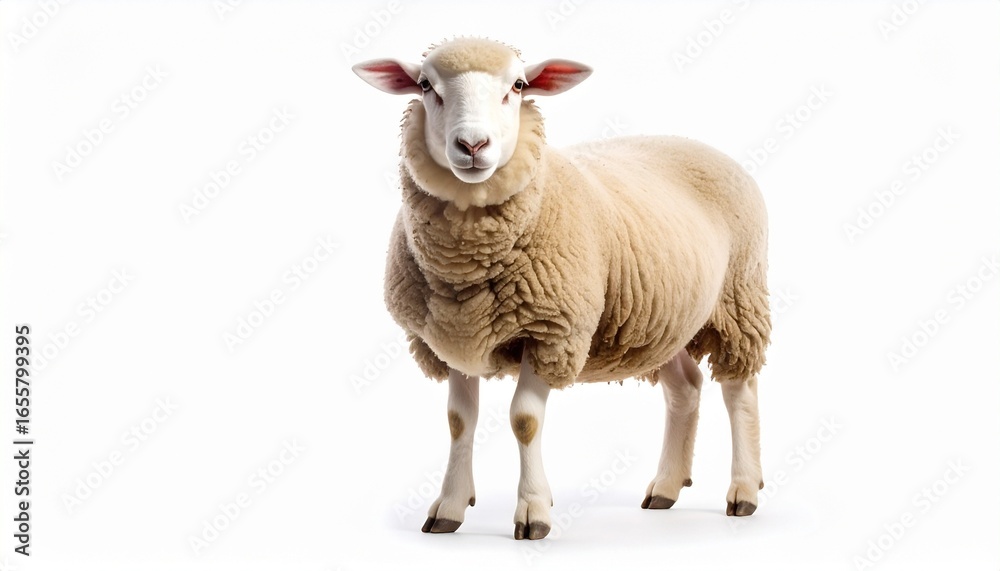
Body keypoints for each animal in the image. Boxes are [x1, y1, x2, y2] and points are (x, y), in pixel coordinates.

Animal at [353, 37, 770, 540]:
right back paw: (666, 488)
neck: (468, 264)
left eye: (517, 85)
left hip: (739, 300)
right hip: (659, 320)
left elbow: (524, 420)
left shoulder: (552, 331)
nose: (472, 144)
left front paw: (533, 511)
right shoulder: (451, 340)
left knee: (739, 392)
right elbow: (458, 422)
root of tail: (699, 144)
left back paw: (744, 490)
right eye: (424, 85)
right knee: (685, 389)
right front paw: (449, 507)